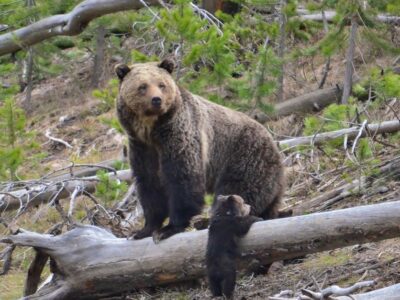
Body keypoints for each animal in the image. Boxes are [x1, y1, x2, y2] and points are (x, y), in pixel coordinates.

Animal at [115, 59, 284, 243]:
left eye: (161, 84)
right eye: (142, 86)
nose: (156, 100)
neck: (151, 130)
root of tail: (275, 144)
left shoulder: (180, 135)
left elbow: (183, 178)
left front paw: (169, 228)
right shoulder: (141, 147)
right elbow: (149, 183)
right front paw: (144, 230)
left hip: (245, 156)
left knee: (237, 190)